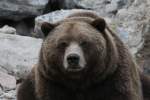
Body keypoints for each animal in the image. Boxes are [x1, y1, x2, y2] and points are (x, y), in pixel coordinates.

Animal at [17, 11, 149, 100]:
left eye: (84, 42)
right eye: (63, 43)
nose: (73, 58)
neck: (80, 81)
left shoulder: (112, 76)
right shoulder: (53, 81)